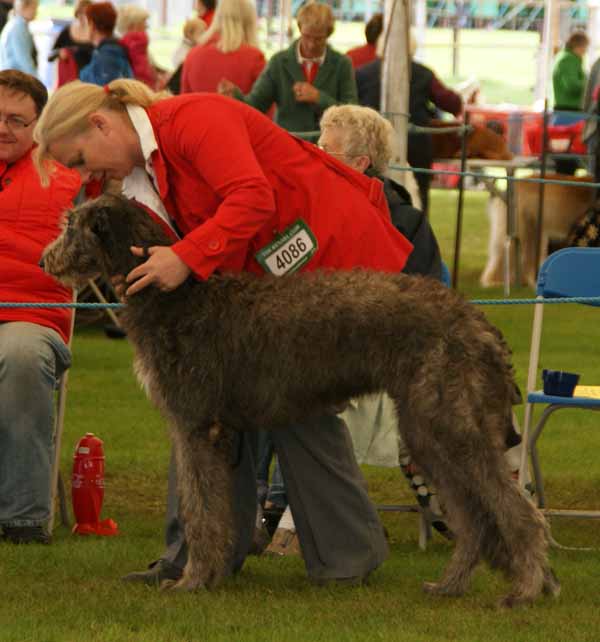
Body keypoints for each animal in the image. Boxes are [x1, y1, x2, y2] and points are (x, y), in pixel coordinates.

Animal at [43, 192, 564, 604]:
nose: (45, 260)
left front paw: (191, 580)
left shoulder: (194, 426)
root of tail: (480, 323)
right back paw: (451, 585)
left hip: (449, 426)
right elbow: (210, 507)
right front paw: (208, 575)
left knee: (516, 511)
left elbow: (201, 510)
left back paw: (526, 589)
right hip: (428, 432)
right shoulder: (213, 432)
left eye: (70, 225)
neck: (175, 296)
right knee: (473, 518)